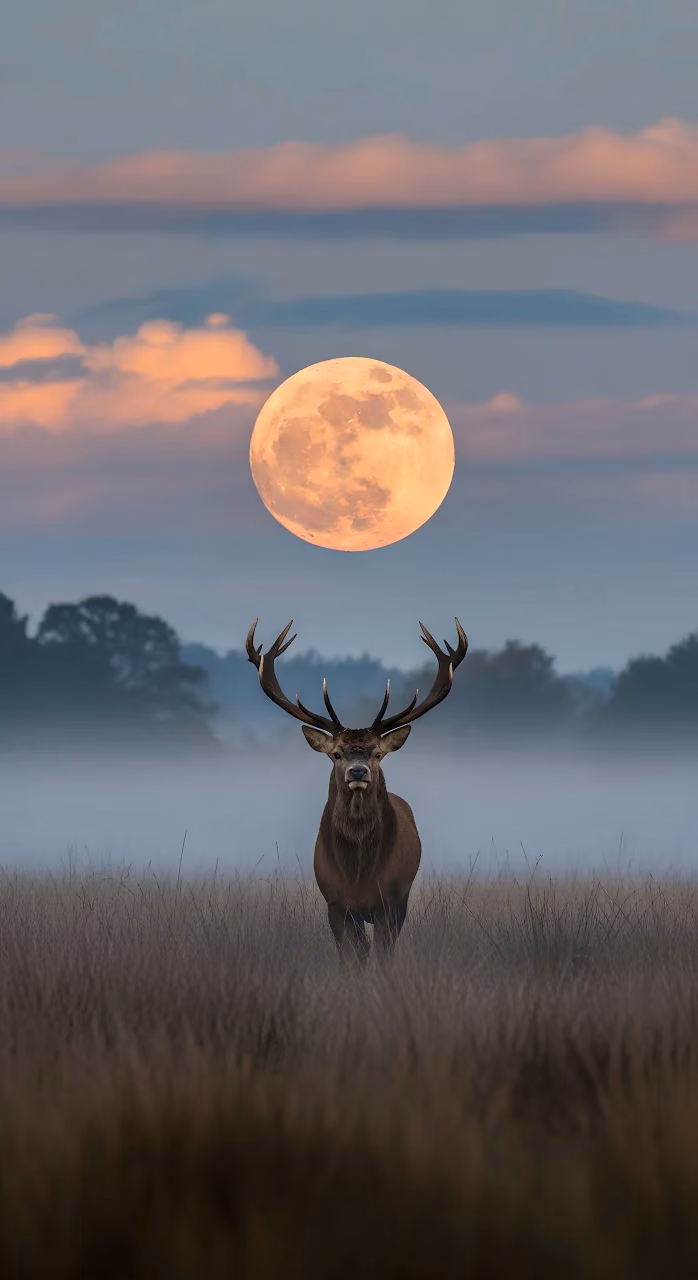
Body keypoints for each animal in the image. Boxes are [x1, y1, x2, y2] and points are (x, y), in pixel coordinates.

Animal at [246, 617, 468, 962]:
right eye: (336, 754)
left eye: (377, 753)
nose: (358, 771)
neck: (358, 876)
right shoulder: (335, 904)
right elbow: (351, 959)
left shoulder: (390, 900)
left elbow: (382, 956)